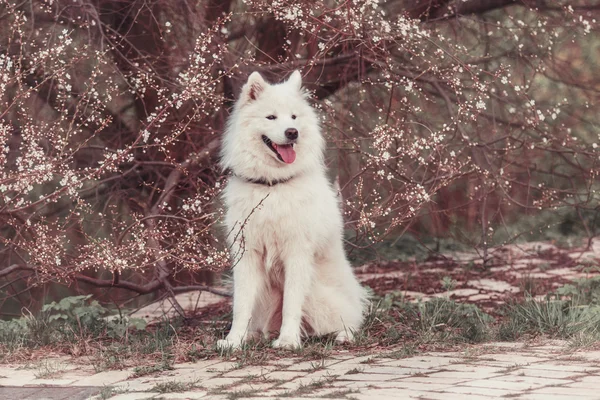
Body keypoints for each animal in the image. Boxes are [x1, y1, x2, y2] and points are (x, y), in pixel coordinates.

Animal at [216, 70, 366, 348]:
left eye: (294, 117)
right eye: (271, 117)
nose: (292, 132)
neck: (272, 186)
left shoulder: (296, 253)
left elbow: (291, 304)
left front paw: (287, 341)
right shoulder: (247, 255)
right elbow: (241, 306)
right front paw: (233, 341)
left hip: (319, 294)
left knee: (348, 320)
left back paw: (342, 336)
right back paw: (253, 335)